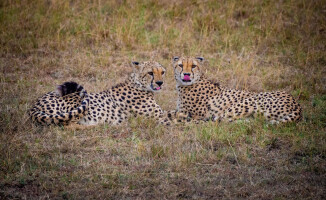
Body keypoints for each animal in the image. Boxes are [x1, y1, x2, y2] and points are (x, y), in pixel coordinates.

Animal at [28, 61, 173, 126]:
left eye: (163, 72)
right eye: (150, 73)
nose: (160, 83)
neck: (138, 84)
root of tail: (33, 106)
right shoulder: (158, 118)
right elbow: (176, 117)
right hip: (76, 100)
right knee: (67, 124)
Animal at [173, 55, 304, 123]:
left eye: (193, 66)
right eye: (180, 65)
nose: (186, 74)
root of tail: (297, 105)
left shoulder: (194, 114)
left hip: (247, 102)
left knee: (220, 120)